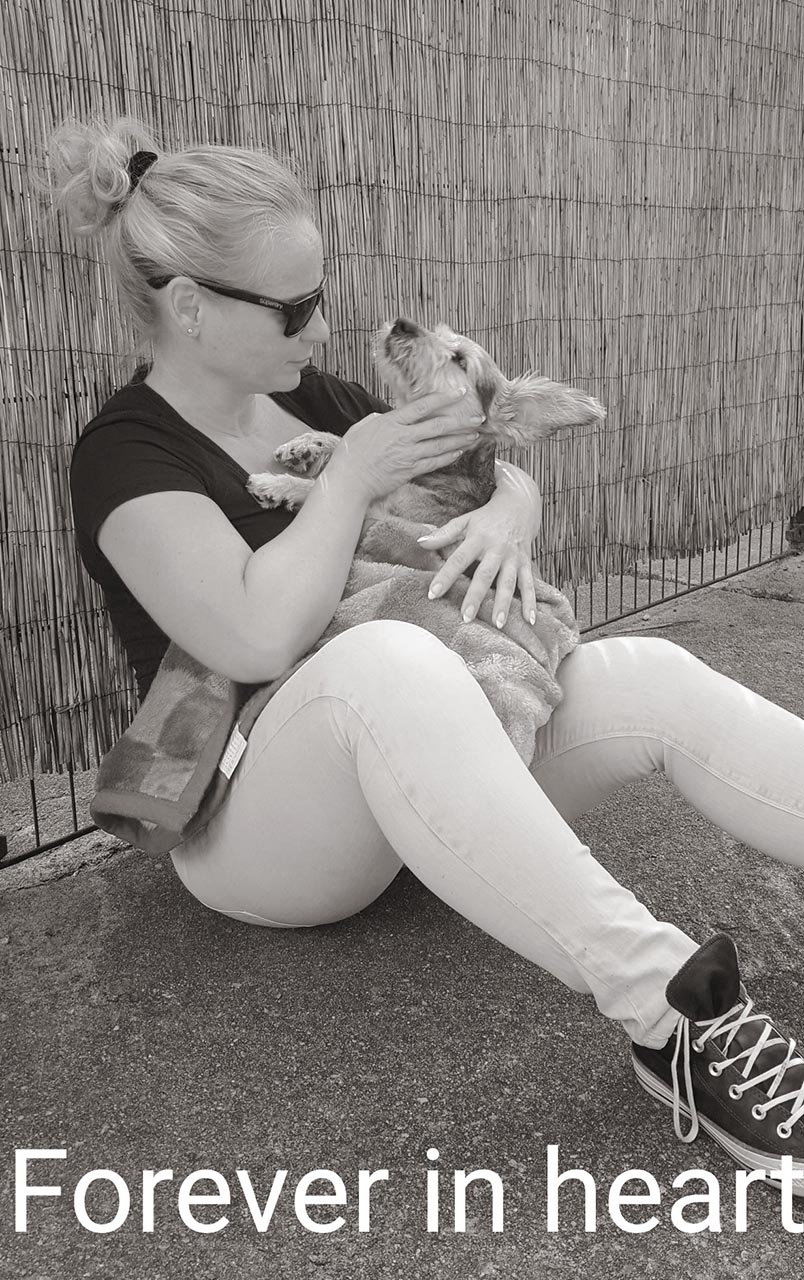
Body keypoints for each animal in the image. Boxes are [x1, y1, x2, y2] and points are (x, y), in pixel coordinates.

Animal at [245, 319, 606, 763]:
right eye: (437, 330)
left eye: (460, 359)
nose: (404, 323)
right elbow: (346, 442)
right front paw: (306, 445)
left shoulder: (381, 521)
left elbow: (325, 493)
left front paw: (277, 484)